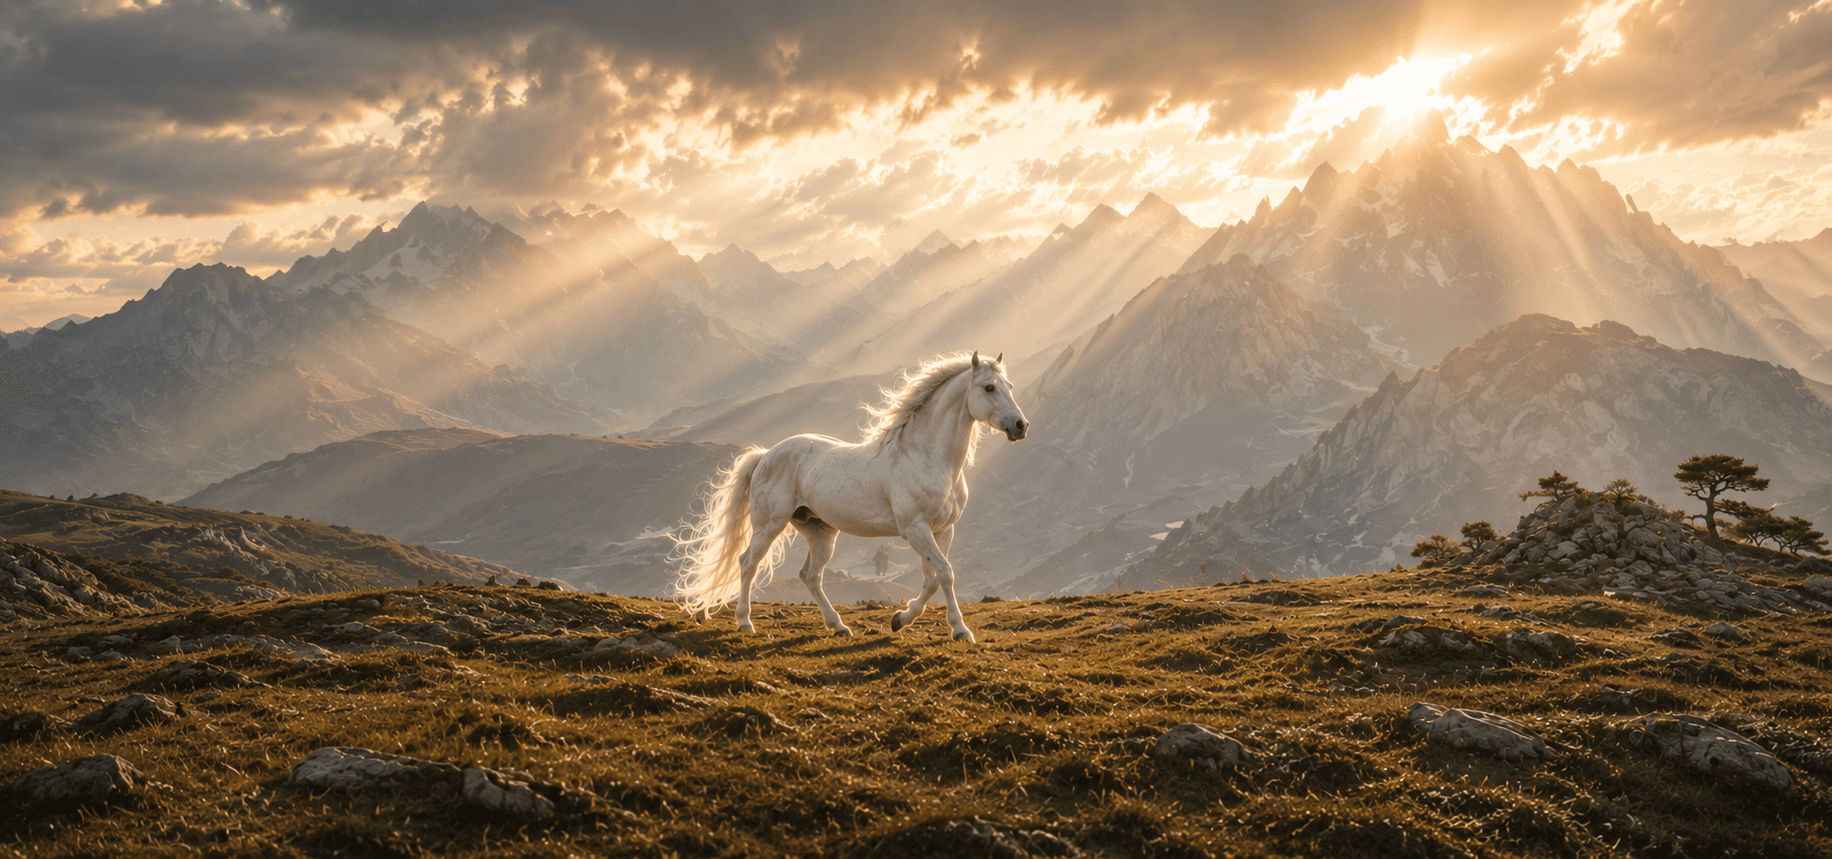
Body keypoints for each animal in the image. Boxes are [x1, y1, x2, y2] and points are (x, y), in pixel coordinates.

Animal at [671, 351, 1029, 642]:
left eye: (1010, 385)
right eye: (989, 388)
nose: (1020, 426)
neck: (927, 456)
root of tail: (766, 455)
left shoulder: (942, 530)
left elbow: (932, 579)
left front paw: (900, 620)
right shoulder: (915, 529)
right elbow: (944, 574)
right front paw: (960, 630)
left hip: (820, 530)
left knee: (810, 575)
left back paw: (839, 626)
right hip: (770, 524)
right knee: (748, 563)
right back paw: (745, 623)